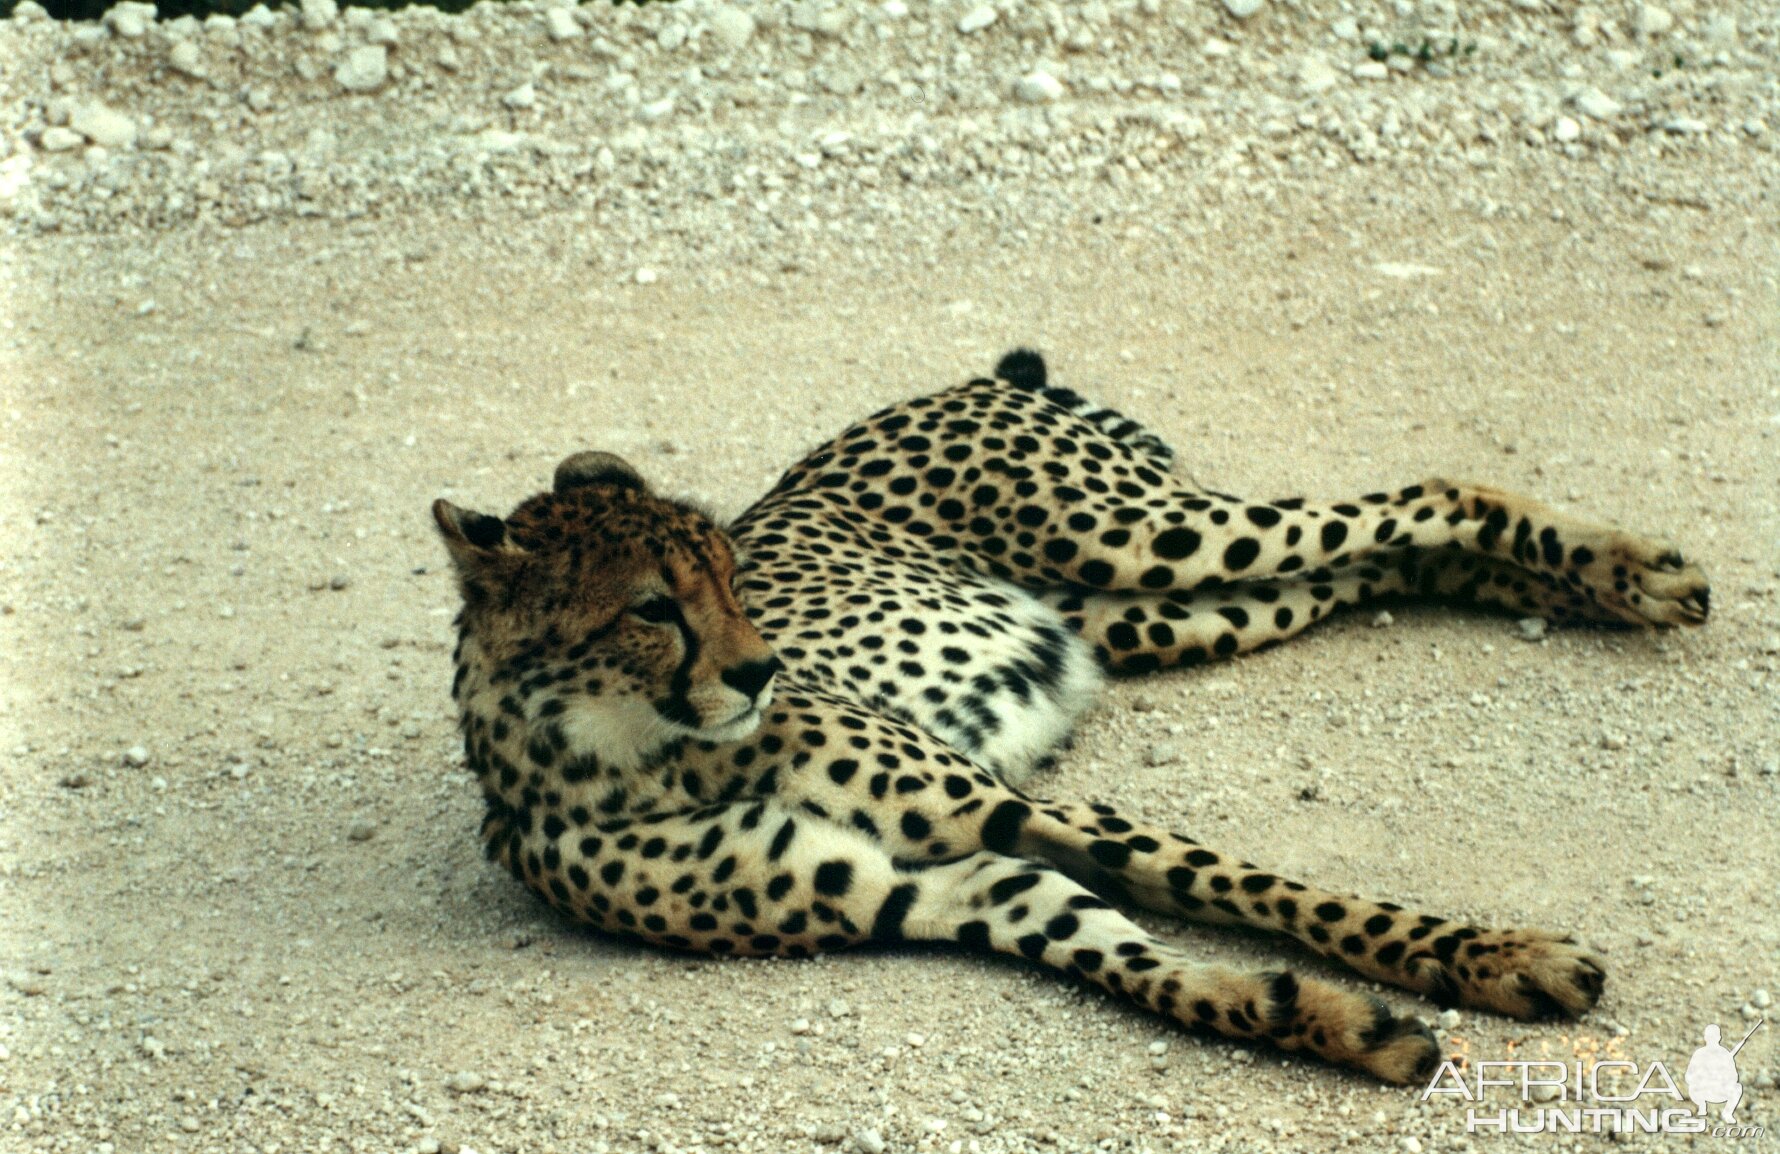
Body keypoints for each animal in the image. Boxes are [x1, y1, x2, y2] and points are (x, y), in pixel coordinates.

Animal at [434, 349, 1708, 1082]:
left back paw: (1634, 567)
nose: (761, 671)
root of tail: (976, 377)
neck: (639, 754)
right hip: (1169, 609)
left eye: (733, 576)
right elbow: (1136, 959)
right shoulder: (933, 887)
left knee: (1424, 497)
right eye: (654, 606)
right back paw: (1598, 583)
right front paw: (1327, 1018)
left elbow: (1255, 887)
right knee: (1391, 557)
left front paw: (1491, 955)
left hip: (1147, 536)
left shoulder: (1004, 808)